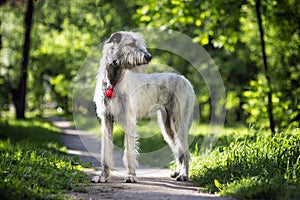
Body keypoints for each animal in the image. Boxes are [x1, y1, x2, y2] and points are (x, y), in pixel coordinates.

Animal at [92, 31, 196, 183]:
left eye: (140, 44)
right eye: (130, 44)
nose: (148, 57)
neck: (114, 81)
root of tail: (187, 81)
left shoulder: (129, 120)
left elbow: (129, 151)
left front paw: (130, 175)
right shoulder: (106, 119)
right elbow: (105, 150)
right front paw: (102, 176)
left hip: (179, 122)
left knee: (185, 151)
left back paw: (184, 175)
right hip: (167, 126)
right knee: (179, 150)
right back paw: (177, 172)